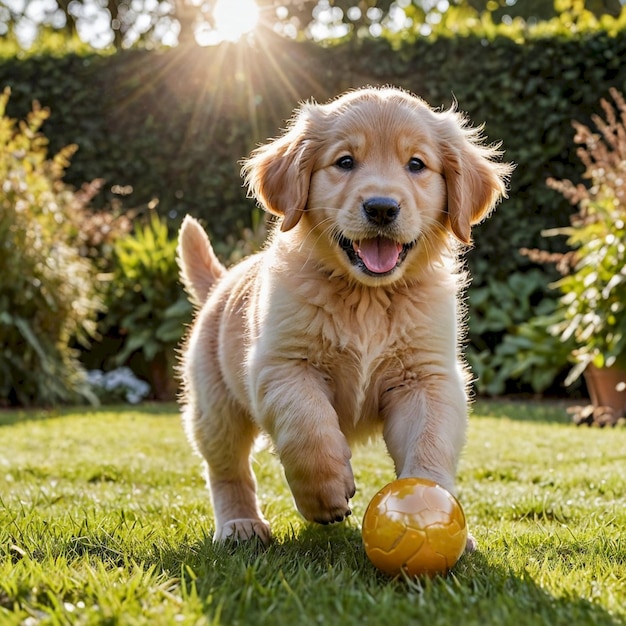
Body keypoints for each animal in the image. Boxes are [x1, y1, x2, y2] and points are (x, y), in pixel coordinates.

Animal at [174, 85, 508, 544]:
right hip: (215, 407)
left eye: (416, 164)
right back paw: (240, 524)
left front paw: (431, 515)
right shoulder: (283, 365)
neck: (366, 296)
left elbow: (429, 442)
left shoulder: (427, 378)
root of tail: (222, 282)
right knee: (227, 468)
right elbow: (307, 427)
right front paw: (324, 495)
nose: (382, 208)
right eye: (345, 162)